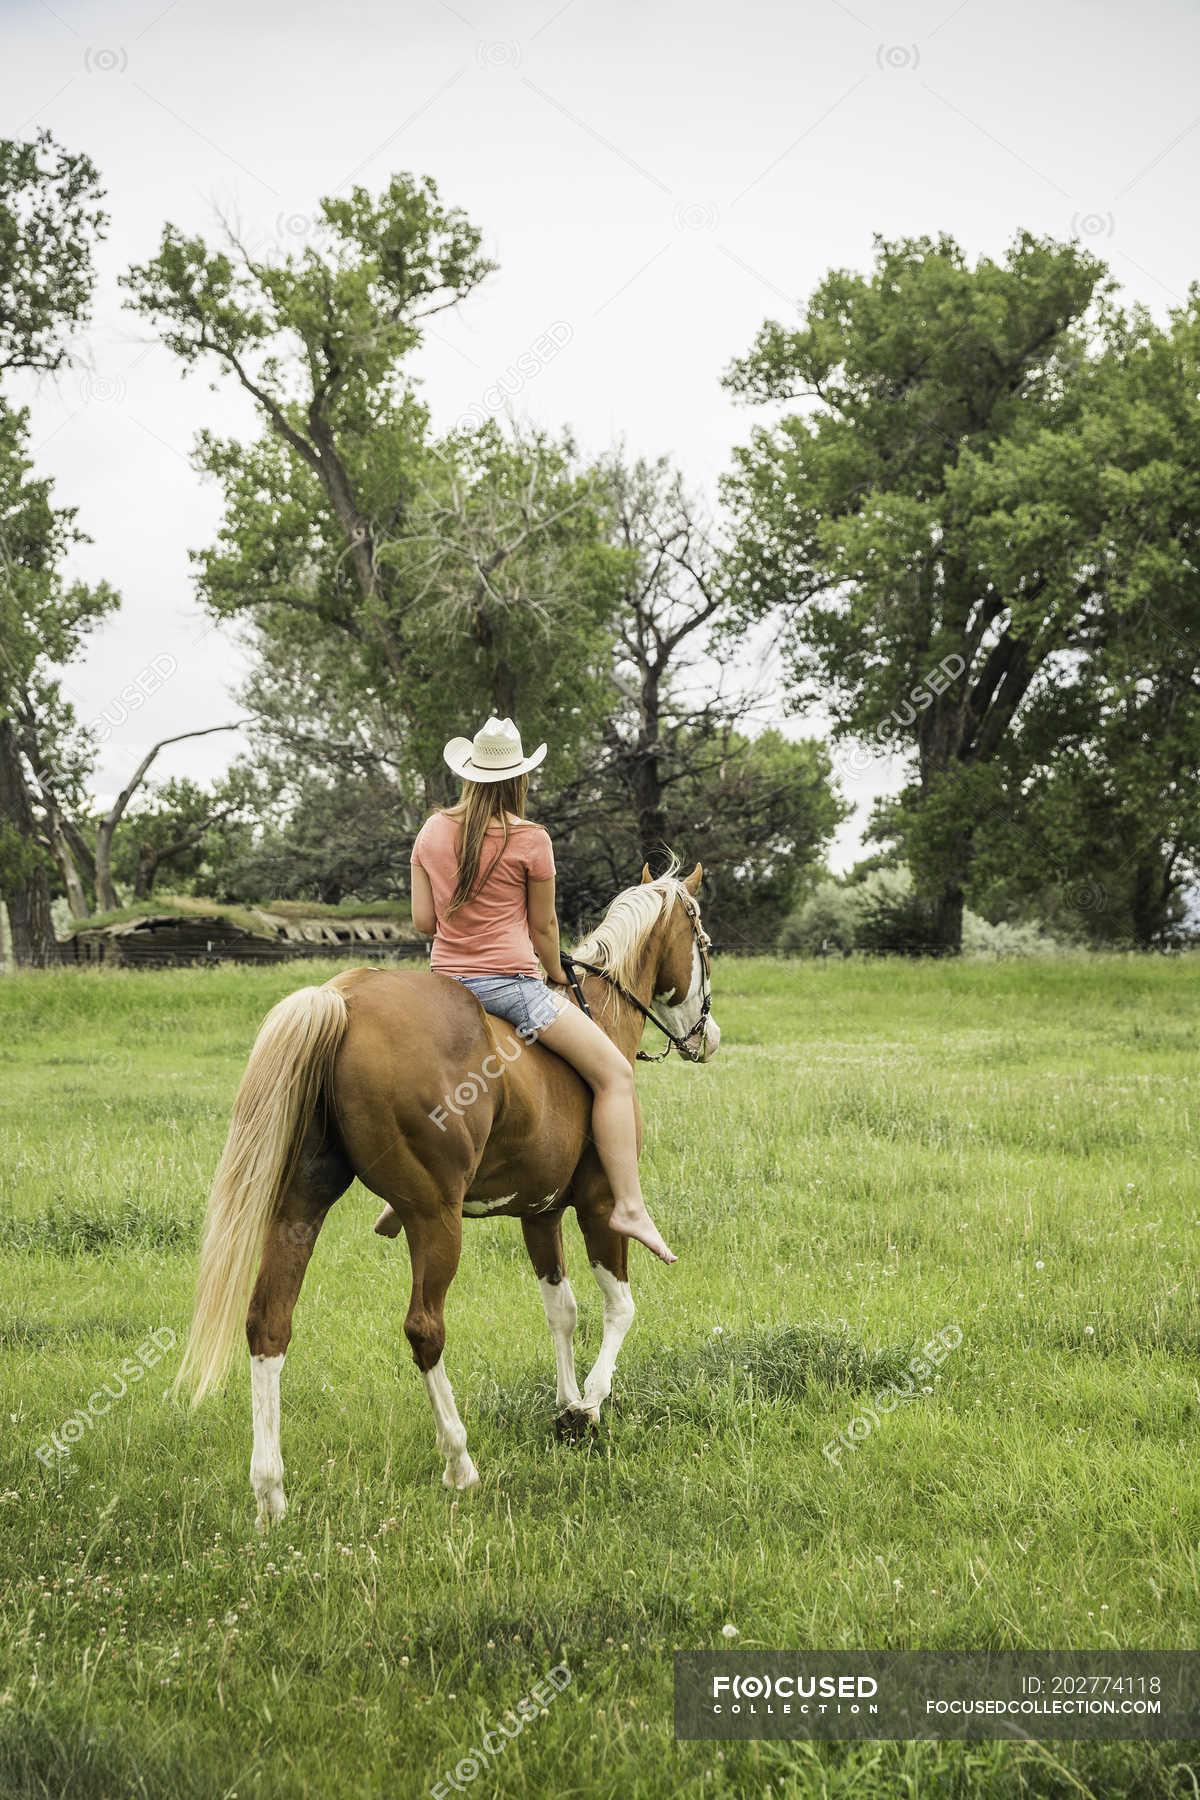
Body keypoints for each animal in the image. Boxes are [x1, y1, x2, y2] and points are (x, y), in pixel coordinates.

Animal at [173, 861, 720, 1526]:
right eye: (704, 945)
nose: (709, 1038)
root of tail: (344, 999)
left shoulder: (539, 1215)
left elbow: (561, 1311)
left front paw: (566, 1403)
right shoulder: (598, 1207)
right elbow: (620, 1308)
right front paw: (588, 1407)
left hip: (300, 1207)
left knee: (269, 1323)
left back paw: (270, 1494)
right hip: (435, 1218)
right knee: (424, 1329)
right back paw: (460, 1463)